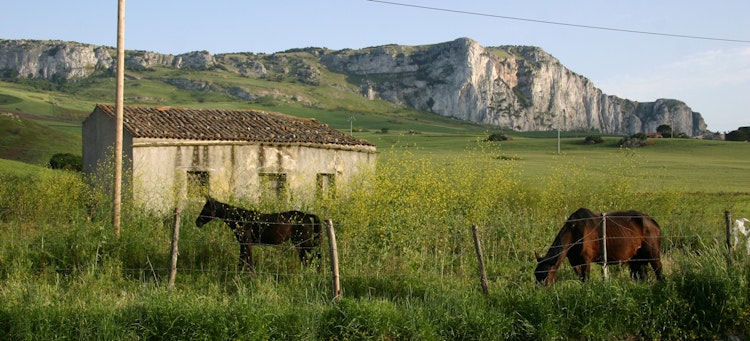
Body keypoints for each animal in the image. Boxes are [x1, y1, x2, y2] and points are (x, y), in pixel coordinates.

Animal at [536, 207, 664, 284]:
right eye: (536, 275)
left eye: (546, 274)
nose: (540, 292)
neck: (574, 232)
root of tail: (653, 222)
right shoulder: (575, 262)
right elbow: (581, 279)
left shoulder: (586, 260)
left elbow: (586, 279)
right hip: (636, 260)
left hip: (653, 255)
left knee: (659, 270)